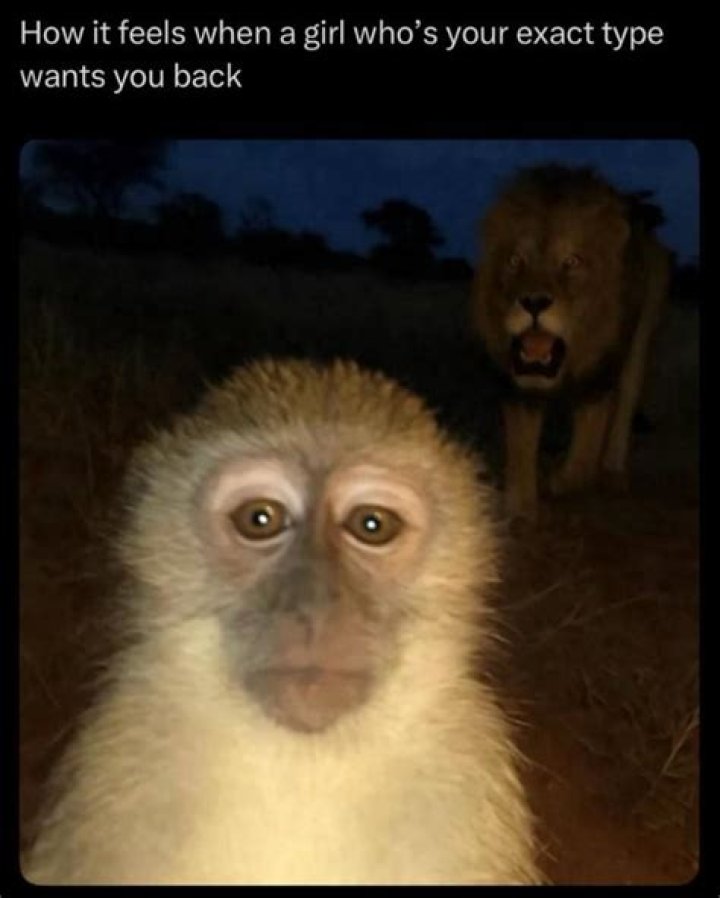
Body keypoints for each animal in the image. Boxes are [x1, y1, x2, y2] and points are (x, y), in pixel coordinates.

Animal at [23, 358, 540, 886]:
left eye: (372, 525)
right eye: (260, 518)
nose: (316, 606)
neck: (302, 765)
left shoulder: (466, 783)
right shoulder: (114, 775)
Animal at [471, 165, 671, 521]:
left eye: (571, 262)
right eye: (515, 261)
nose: (534, 302)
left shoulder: (600, 378)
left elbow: (584, 459)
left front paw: (559, 480)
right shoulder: (518, 384)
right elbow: (521, 448)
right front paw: (519, 507)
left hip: (640, 337)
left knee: (624, 406)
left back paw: (613, 472)